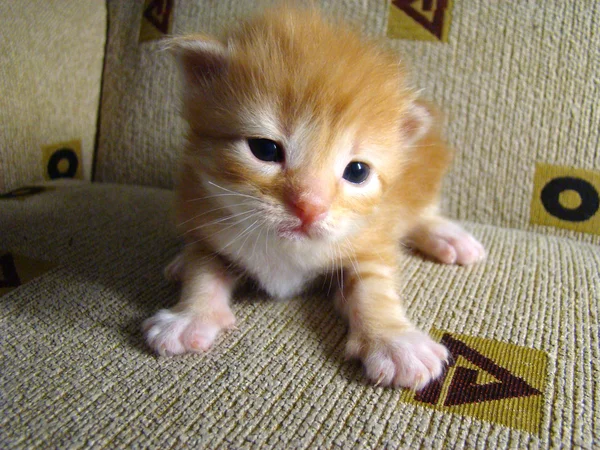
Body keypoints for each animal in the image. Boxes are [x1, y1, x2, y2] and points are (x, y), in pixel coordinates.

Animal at [143, 5, 486, 388]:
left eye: (357, 171)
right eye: (265, 149)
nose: (309, 208)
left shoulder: (370, 240)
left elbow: (374, 289)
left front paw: (395, 341)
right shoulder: (207, 219)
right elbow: (203, 270)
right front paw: (189, 316)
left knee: (422, 212)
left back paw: (449, 237)